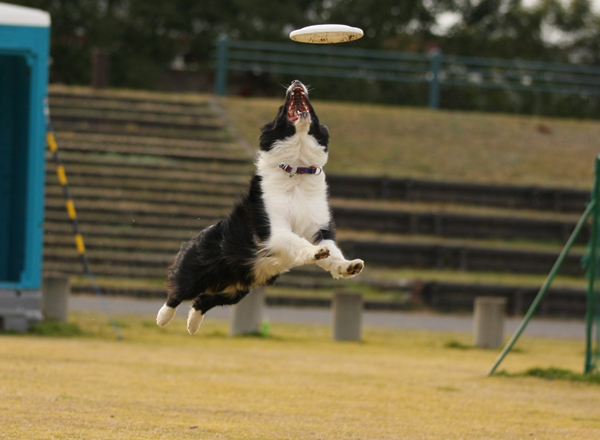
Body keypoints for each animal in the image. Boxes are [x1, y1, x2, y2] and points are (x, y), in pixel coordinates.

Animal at [157, 80, 364, 334]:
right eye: (280, 109)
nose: (296, 82)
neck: (297, 170)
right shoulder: (273, 229)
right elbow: (298, 242)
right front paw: (315, 252)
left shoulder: (320, 228)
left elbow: (334, 254)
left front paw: (349, 266)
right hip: (198, 270)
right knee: (178, 292)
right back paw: (162, 318)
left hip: (236, 290)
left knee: (202, 301)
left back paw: (192, 326)